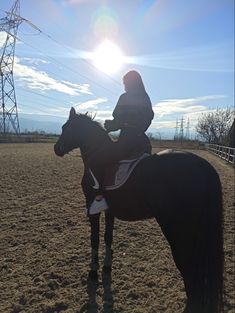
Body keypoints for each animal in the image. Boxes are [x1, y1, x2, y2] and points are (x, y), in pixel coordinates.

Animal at [53, 107, 224, 312]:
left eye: (66, 128)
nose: (56, 148)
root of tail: (202, 165)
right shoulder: (109, 211)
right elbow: (107, 237)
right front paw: (106, 268)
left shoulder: (92, 207)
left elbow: (94, 239)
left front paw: (93, 272)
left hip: (179, 230)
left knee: (187, 266)